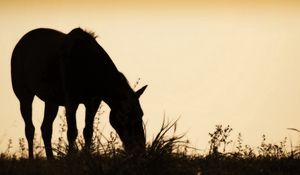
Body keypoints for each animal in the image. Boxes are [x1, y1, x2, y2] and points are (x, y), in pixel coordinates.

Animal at [11, 27, 147, 159]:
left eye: (141, 114)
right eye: (126, 116)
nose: (140, 148)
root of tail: (19, 45)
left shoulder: (93, 102)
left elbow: (88, 131)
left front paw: (87, 156)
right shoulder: (71, 101)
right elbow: (72, 132)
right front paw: (71, 157)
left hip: (51, 101)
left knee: (46, 128)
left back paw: (51, 159)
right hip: (24, 95)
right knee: (30, 128)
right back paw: (31, 158)